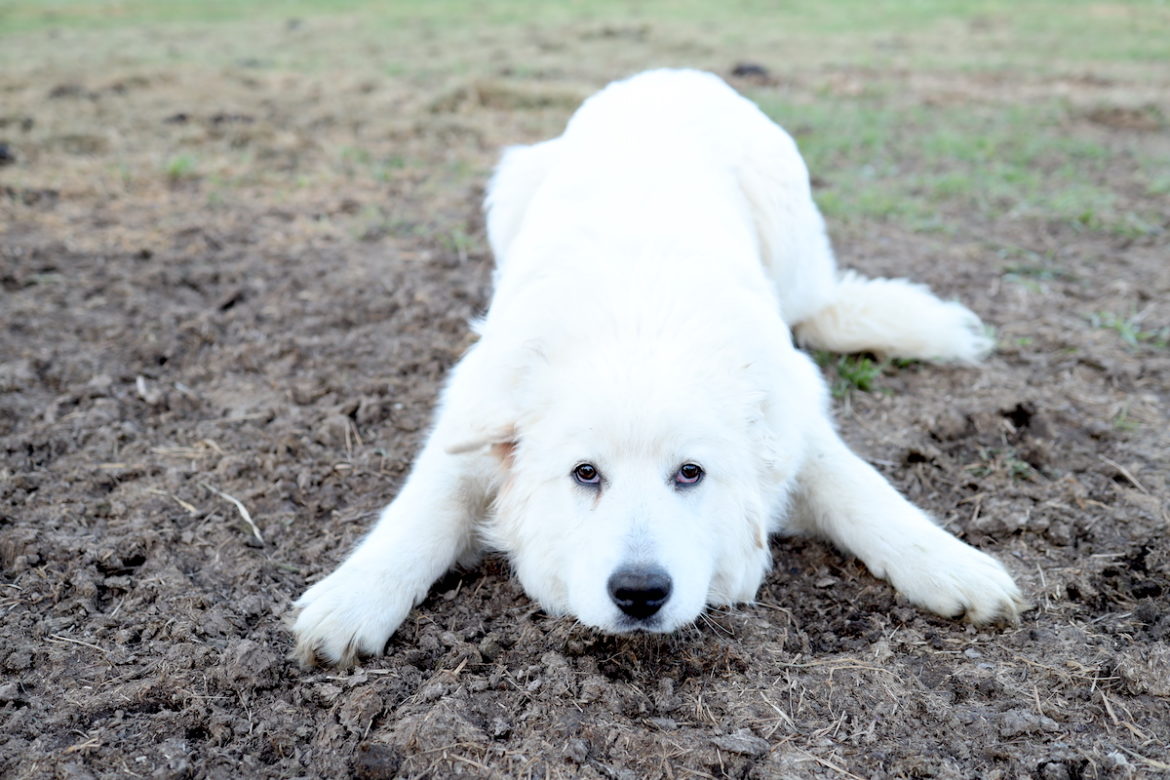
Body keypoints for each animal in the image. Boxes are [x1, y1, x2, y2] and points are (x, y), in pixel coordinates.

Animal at [292, 71, 1024, 664]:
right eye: (585, 474)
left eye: (690, 473)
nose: (640, 592)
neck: (636, 333)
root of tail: (671, 74)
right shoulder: (470, 419)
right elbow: (421, 511)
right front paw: (348, 604)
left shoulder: (795, 422)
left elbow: (863, 491)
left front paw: (955, 567)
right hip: (513, 185)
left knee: (819, 304)